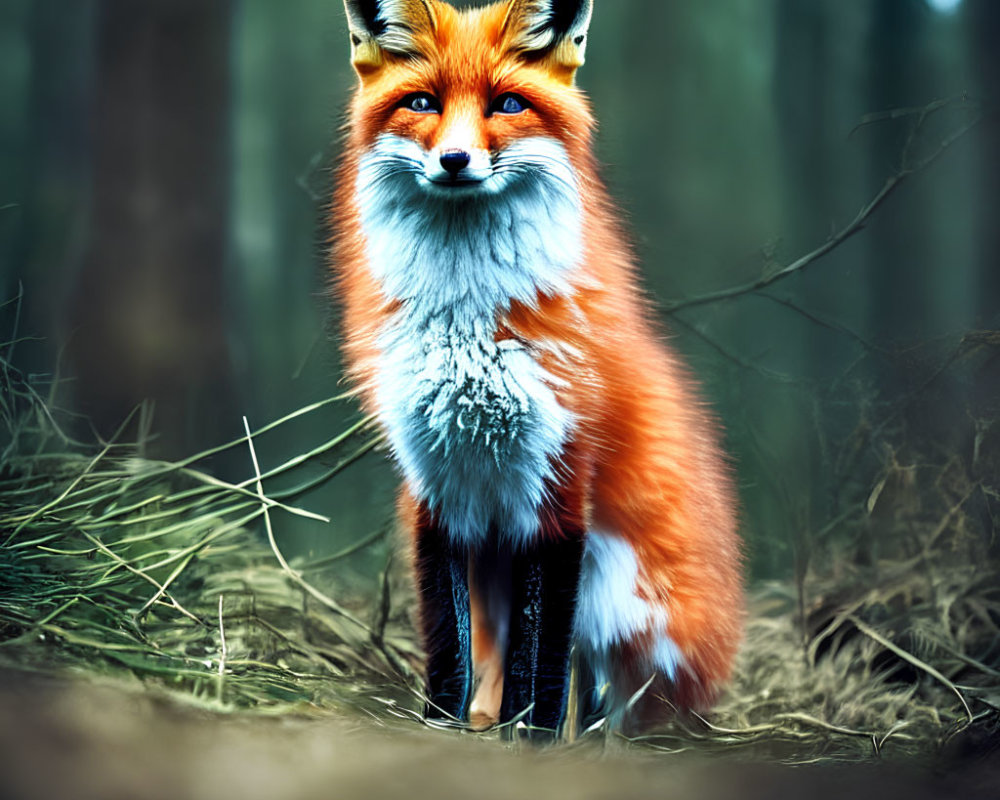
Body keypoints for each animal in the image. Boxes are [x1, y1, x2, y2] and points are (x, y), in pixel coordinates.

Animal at [330, 0, 744, 736]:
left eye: (508, 104)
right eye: (422, 103)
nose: (455, 159)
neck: (467, 331)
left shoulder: (559, 485)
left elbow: (544, 654)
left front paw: (538, 739)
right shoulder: (433, 484)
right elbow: (449, 642)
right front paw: (443, 727)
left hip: (618, 591)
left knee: (602, 680)